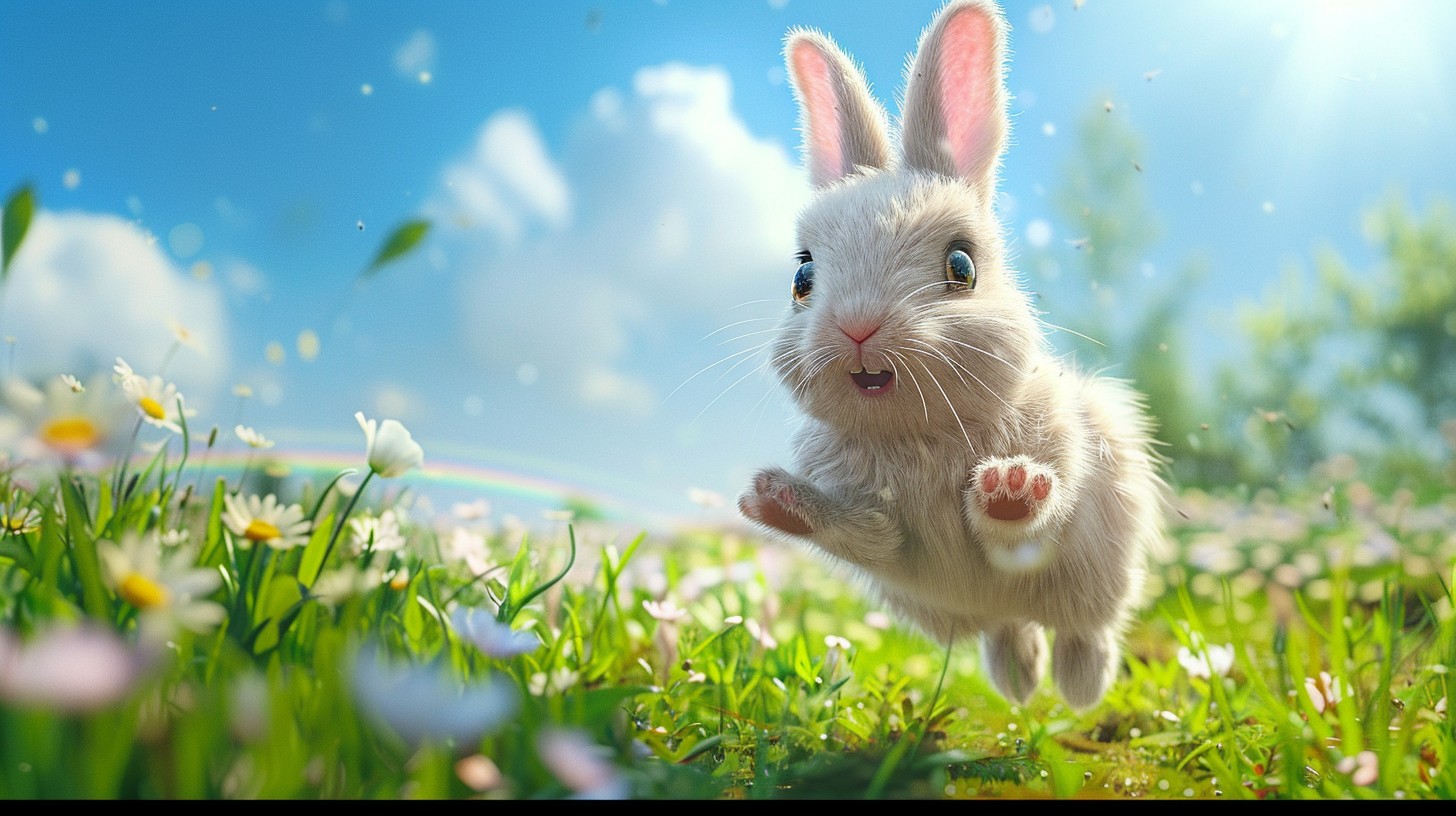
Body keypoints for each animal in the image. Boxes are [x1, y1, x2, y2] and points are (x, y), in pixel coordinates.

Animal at [737, 0, 1168, 710]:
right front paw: (768, 500)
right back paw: (1020, 685)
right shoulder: (881, 533)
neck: (921, 433)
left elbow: (1021, 528)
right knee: (1008, 630)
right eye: (802, 278)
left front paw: (1010, 487)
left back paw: (1078, 690)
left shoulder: (1059, 479)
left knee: (1086, 633)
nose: (857, 325)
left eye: (961, 266)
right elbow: (864, 531)